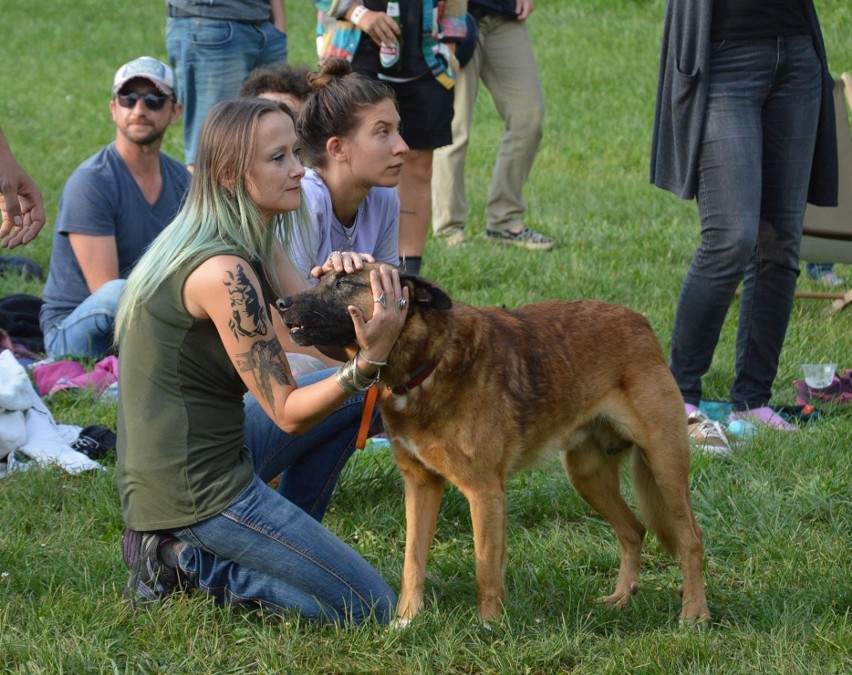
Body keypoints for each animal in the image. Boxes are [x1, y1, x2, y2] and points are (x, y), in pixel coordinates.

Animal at [276, 266, 708, 624]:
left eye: (345, 282)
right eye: (320, 277)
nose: (281, 303)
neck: (429, 362)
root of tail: (641, 323)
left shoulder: (484, 492)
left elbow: (485, 566)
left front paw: (489, 627)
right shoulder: (421, 485)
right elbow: (413, 561)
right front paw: (407, 622)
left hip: (665, 468)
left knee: (691, 538)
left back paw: (694, 614)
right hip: (588, 477)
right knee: (634, 530)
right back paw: (622, 597)